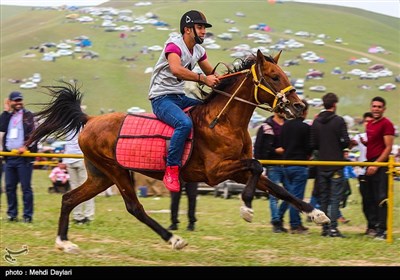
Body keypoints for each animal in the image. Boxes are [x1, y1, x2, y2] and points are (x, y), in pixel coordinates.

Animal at [26, 50, 330, 254]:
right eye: (274, 76)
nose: (300, 107)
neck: (222, 121)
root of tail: (89, 120)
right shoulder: (216, 172)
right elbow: (257, 166)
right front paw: (246, 207)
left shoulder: (237, 170)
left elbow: (277, 187)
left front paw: (317, 214)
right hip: (117, 172)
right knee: (134, 208)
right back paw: (173, 239)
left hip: (100, 176)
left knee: (68, 198)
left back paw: (64, 242)